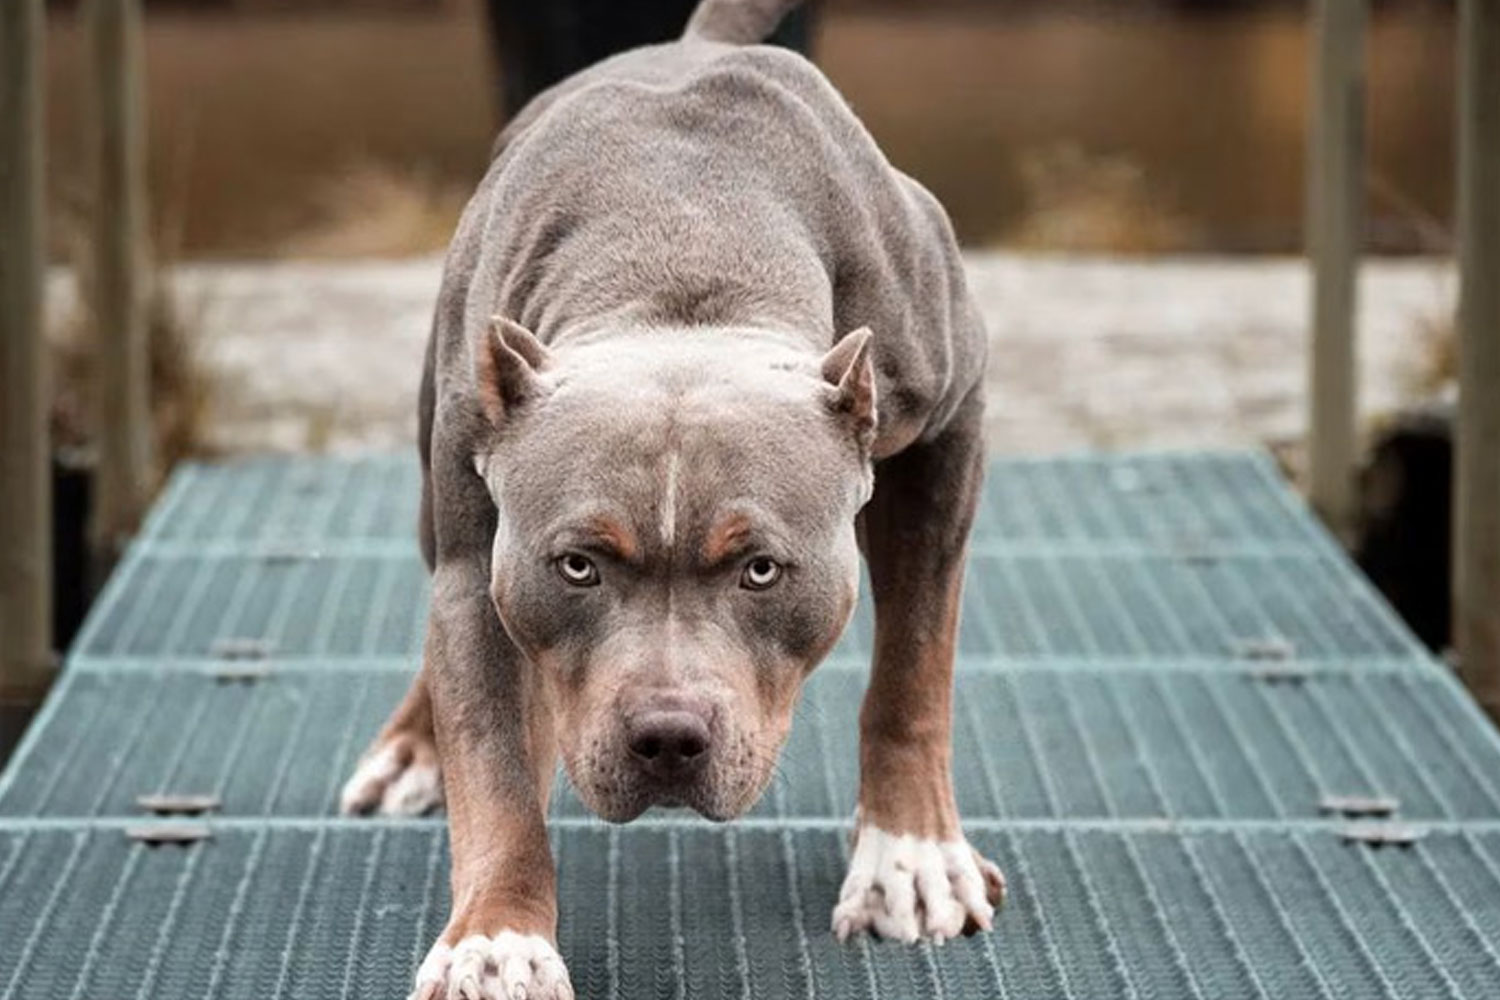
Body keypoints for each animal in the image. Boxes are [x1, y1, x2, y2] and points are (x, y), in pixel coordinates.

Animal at [340, 1, 1008, 995]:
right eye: (577, 566)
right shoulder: (478, 560)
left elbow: (914, 667)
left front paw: (910, 856)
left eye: (761, 570)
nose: (666, 738)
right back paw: (416, 748)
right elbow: (493, 765)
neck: (684, 260)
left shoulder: (950, 430)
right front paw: (498, 938)